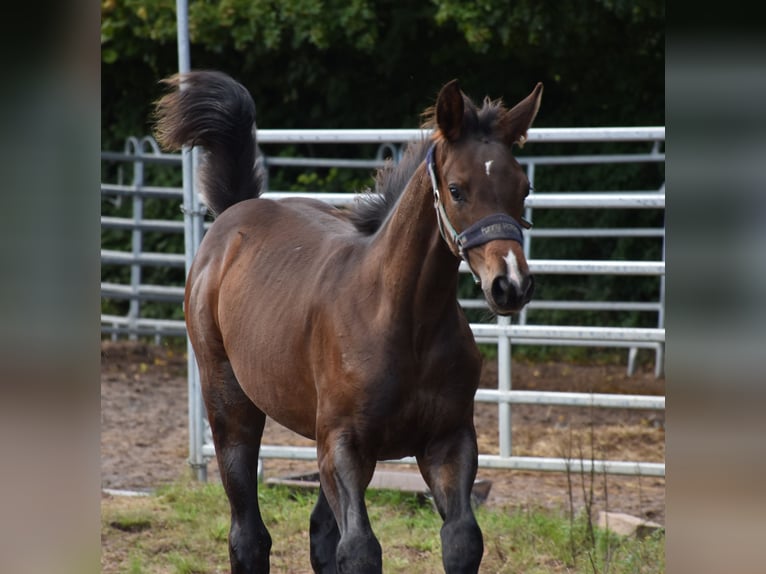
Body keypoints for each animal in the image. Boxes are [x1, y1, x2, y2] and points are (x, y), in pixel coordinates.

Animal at [154, 70, 542, 574]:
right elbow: (359, 549)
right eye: (457, 189)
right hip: (231, 404)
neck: (405, 321)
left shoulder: (448, 440)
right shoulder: (344, 445)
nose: (510, 285)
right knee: (248, 535)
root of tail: (234, 214)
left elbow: (461, 540)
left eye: (524, 188)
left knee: (320, 533)